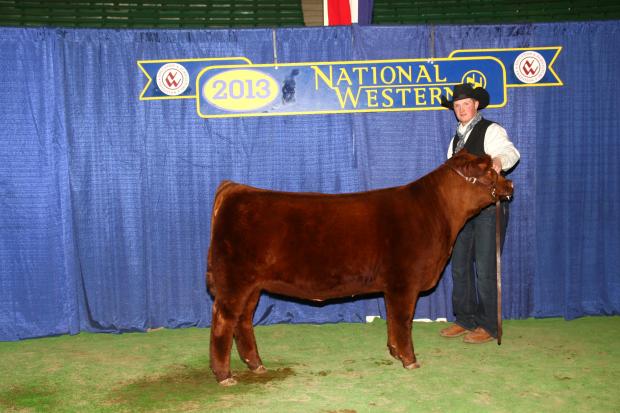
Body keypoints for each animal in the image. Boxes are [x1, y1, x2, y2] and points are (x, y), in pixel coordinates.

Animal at [208, 150, 512, 384]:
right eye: (489, 170)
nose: (510, 185)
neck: (435, 213)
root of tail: (236, 188)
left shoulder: (392, 286)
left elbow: (392, 320)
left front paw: (394, 352)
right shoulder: (404, 282)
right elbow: (403, 321)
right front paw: (410, 360)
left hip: (252, 286)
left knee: (243, 321)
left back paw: (256, 365)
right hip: (235, 282)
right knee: (224, 321)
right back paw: (224, 375)